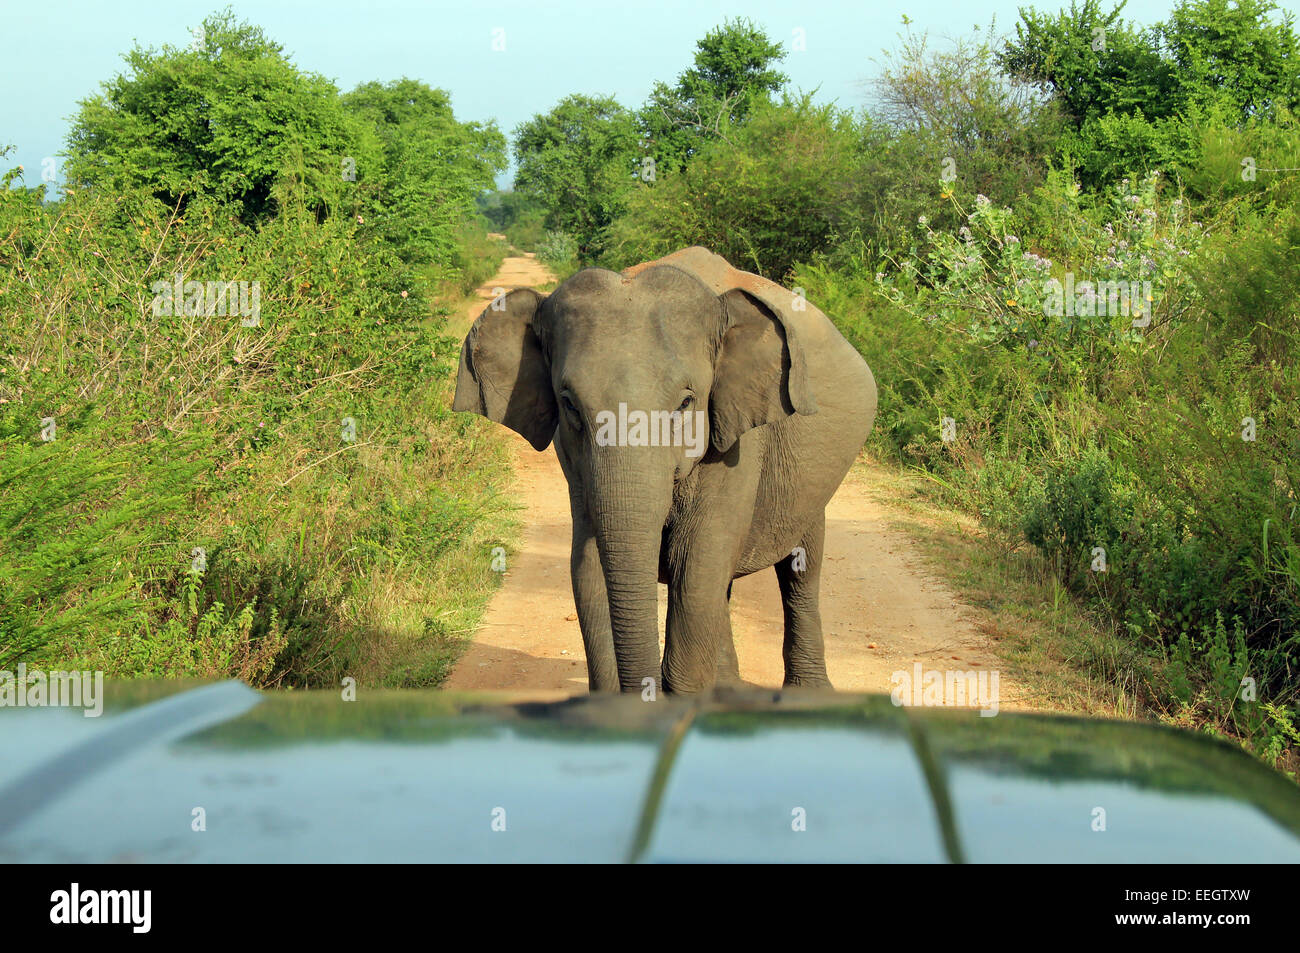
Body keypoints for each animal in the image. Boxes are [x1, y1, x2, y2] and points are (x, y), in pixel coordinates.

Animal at [452, 245, 878, 691]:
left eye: (686, 403)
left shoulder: (734, 442)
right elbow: (589, 570)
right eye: (568, 404)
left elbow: (696, 567)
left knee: (801, 567)